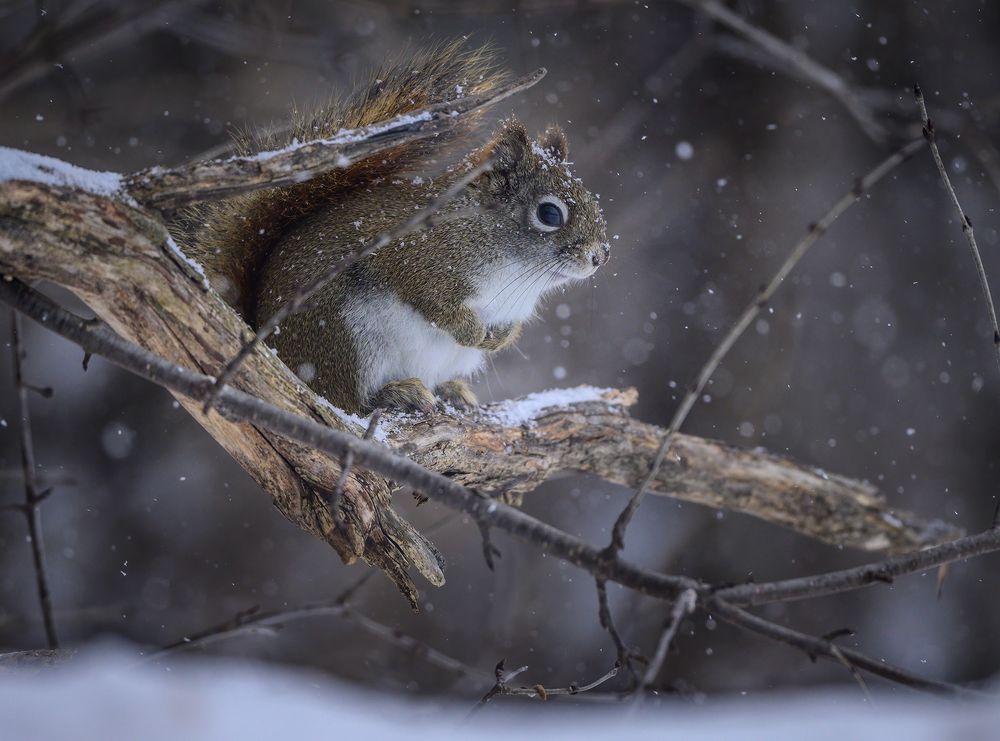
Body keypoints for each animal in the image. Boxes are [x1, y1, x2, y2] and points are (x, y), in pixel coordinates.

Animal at [177, 41, 610, 414]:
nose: (601, 256)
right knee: (344, 399)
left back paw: (452, 390)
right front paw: (471, 332)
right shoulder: (414, 257)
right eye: (550, 214)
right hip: (344, 337)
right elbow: (434, 303)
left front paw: (498, 338)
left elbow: (506, 330)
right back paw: (397, 394)